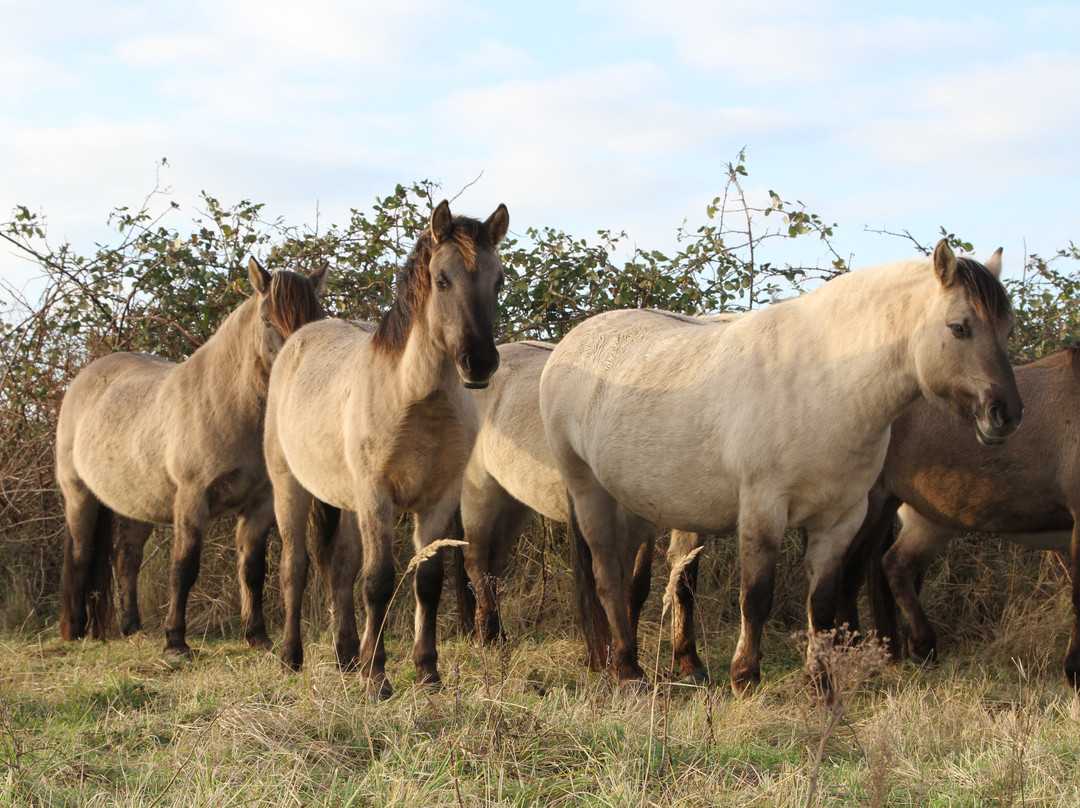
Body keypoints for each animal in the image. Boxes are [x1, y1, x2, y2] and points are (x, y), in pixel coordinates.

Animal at [265, 198, 509, 695]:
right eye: (442, 279)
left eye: (498, 281)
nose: (479, 362)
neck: (415, 398)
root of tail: (301, 336)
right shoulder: (377, 496)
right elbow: (378, 582)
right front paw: (377, 679)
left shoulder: (438, 499)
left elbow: (427, 581)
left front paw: (427, 673)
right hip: (290, 489)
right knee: (295, 568)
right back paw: (291, 659)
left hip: (348, 503)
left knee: (340, 569)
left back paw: (347, 658)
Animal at [544, 243, 1023, 691]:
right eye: (959, 327)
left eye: (1007, 329)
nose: (1007, 415)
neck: (826, 382)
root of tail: (570, 343)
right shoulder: (764, 509)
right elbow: (757, 597)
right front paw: (745, 678)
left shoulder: (840, 519)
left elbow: (823, 605)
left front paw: (819, 682)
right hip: (590, 492)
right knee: (607, 575)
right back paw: (628, 669)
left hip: (645, 501)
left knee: (662, 577)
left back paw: (682, 665)